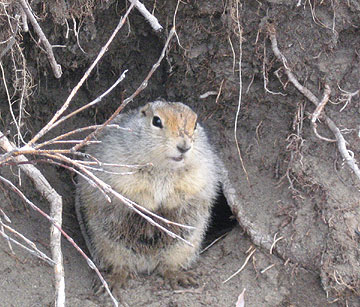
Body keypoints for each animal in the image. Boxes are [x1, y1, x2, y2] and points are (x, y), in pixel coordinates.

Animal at [76, 100, 219, 292]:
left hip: (183, 246)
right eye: (156, 121)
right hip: (109, 245)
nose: (184, 147)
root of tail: (146, 264)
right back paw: (113, 281)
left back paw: (180, 276)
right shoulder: (118, 164)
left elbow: (187, 188)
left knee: (168, 266)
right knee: (121, 266)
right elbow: (129, 188)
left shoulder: (199, 170)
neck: (162, 168)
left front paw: (165, 206)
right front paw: (150, 206)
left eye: (195, 124)